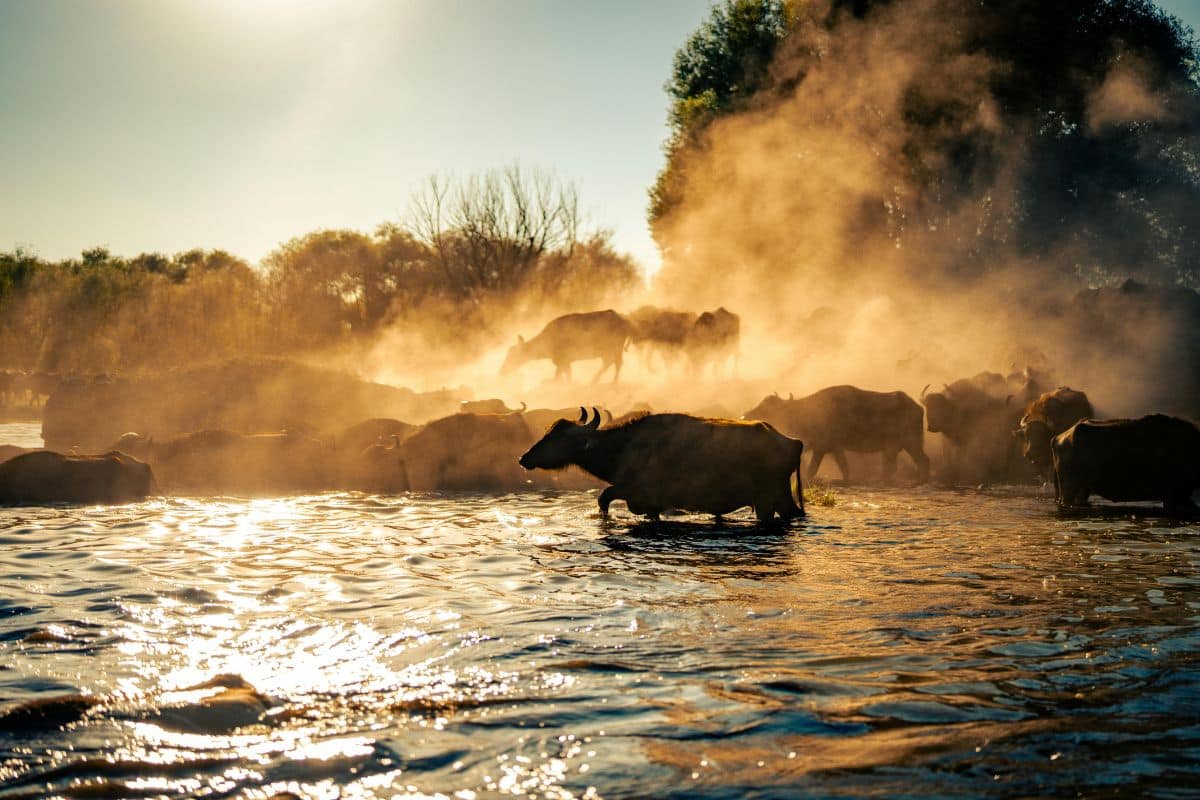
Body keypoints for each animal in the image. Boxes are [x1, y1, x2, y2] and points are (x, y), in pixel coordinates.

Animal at [502, 310, 634, 383]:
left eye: (512, 355)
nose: (502, 371)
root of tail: (625, 321)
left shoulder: (562, 361)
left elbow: (561, 376)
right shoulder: (563, 362)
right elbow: (564, 375)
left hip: (616, 348)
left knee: (617, 363)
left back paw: (613, 382)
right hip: (607, 351)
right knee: (608, 362)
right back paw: (594, 380)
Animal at [518, 408, 804, 522]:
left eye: (558, 436)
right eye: (549, 431)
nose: (524, 458)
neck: (624, 447)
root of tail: (792, 442)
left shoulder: (633, 492)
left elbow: (603, 499)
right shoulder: (651, 506)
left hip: (766, 500)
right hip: (780, 497)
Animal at [744, 386, 929, 484]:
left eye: (768, 407)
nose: (746, 415)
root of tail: (918, 407)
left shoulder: (822, 447)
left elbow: (812, 469)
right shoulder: (835, 448)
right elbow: (844, 467)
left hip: (908, 443)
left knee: (911, 463)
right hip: (903, 446)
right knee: (913, 463)